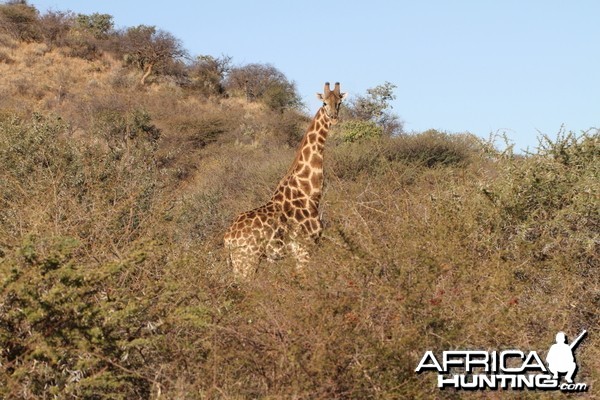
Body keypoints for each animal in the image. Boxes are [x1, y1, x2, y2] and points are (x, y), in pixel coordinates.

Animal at [224, 80, 346, 276]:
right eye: (324, 103)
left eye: (339, 103)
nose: (334, 117)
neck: (309, 193)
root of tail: (227, 237)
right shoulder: (304, 249)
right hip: (247, 261)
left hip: (239, 263)